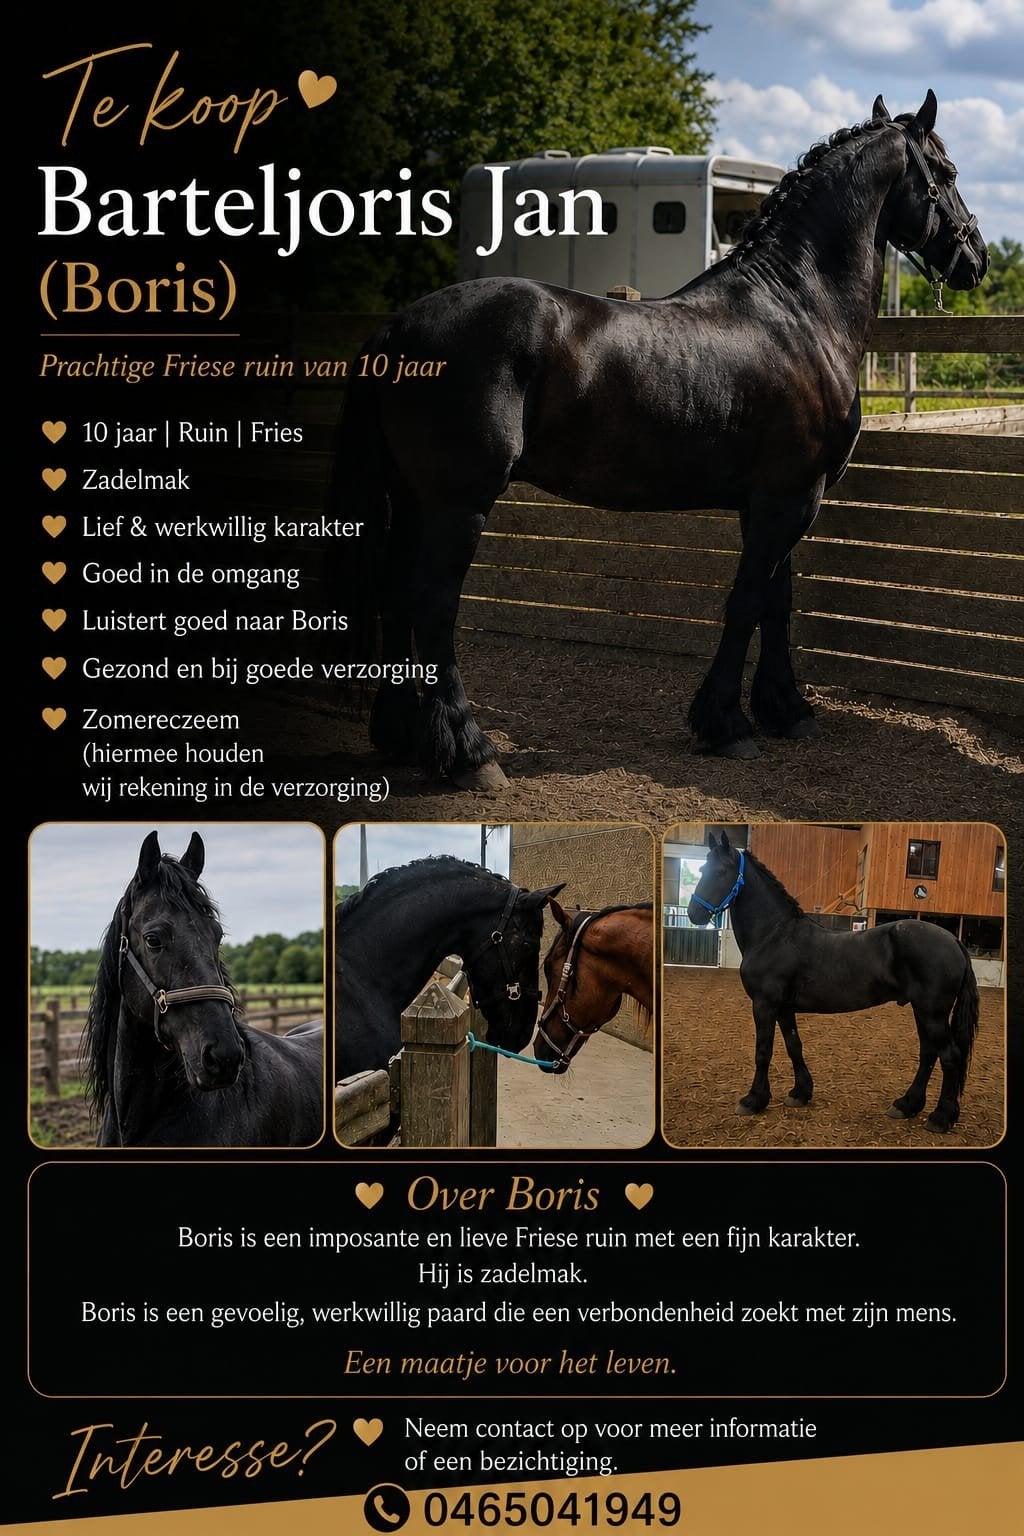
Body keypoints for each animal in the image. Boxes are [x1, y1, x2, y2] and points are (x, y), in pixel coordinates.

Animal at [330, 91, 987, 785]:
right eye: (947, 174)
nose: (978, 258)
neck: (796, 313)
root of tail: (397, 328)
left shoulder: (776, 500)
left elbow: (777, 601)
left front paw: (786, 711)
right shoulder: (790, 498)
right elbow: (747, 600)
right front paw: (725, 724)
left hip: (412, 498)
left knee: (394, 596)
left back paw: (404, 737)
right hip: (458, 504)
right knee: (432, 605)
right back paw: (469, 753)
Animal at [687, 832, 980, 1132]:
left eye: (720, 871)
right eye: (702, 869)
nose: (694, 913)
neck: (774, 935)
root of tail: (953, 940)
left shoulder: (764, 1005)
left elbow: (763, 1051)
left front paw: (754, 1100)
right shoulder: (784, 1008)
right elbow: (794, 1045)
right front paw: (800, 1093)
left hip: (932, 1013)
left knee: (950, 1056)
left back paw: (940, 1117)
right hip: (923, 1011)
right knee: (928, 1053)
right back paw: (906, 1105)